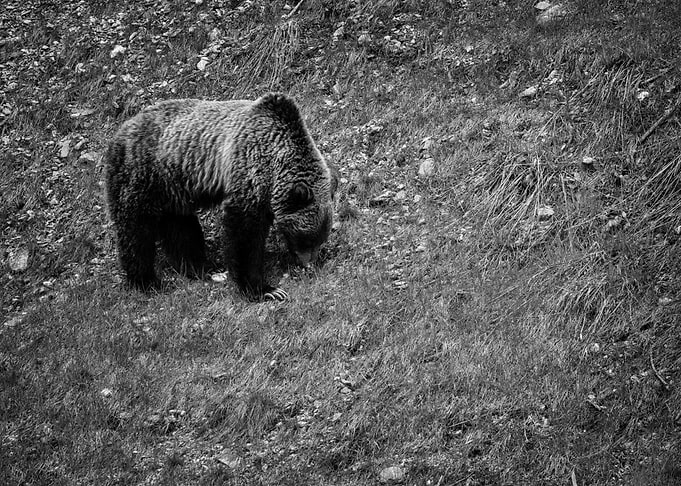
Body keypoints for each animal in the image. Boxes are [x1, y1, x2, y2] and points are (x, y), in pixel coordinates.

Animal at [104, 93, 335, 300]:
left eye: (320, 239)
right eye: (306, 238)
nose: (309, 264)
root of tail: (121, 129)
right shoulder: (248, 170)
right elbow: (244, 234)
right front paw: (265, 289)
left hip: (173, 189)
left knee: (181, 229)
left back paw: (199, 268)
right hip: (142, 174)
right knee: (136, 230)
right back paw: (147, 281)